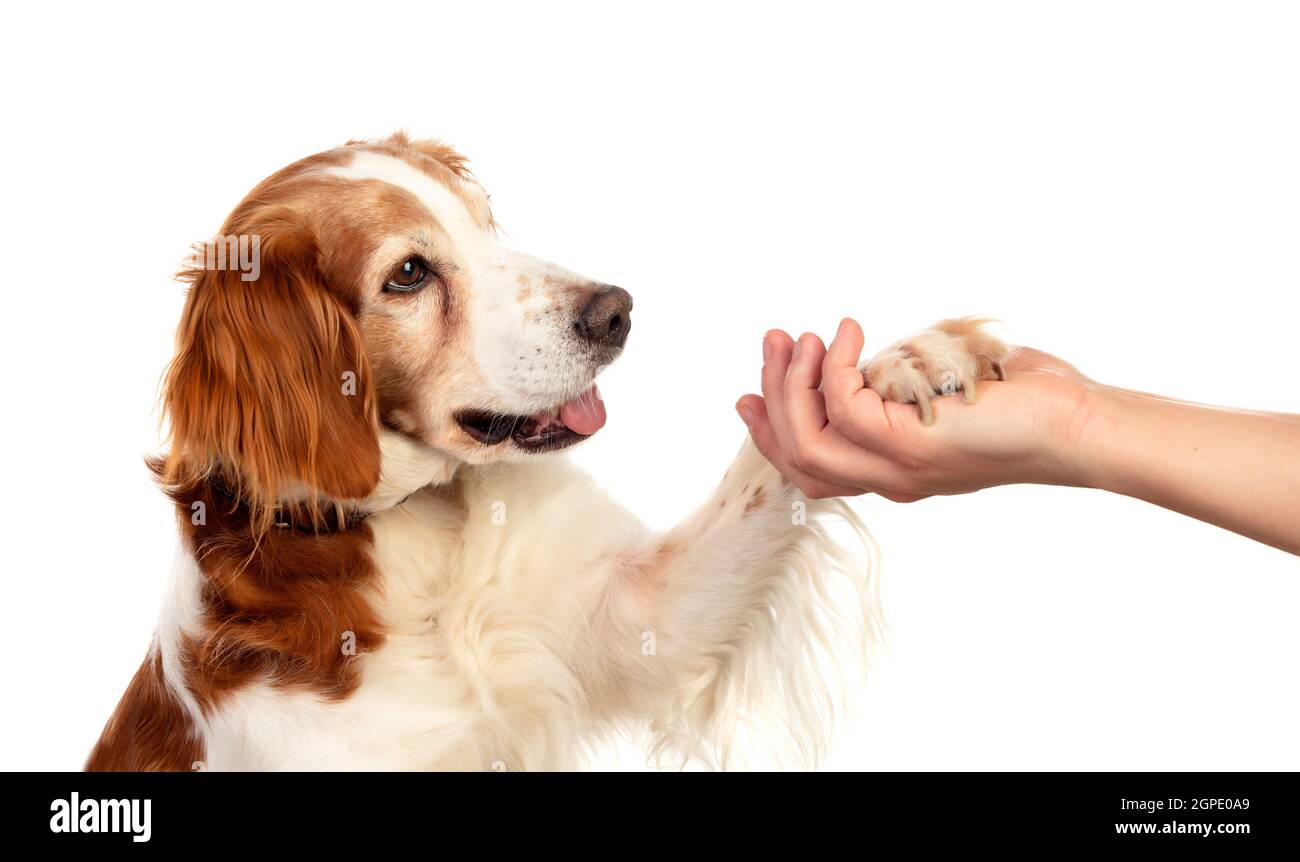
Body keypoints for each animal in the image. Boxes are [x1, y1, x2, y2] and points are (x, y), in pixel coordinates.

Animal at [86, 136, 1008, 774]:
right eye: (409, 273)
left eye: (483, 219)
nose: (617, 310)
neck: (427, 530)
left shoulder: (639, 611)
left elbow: (764, 464)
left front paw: (904, 361)